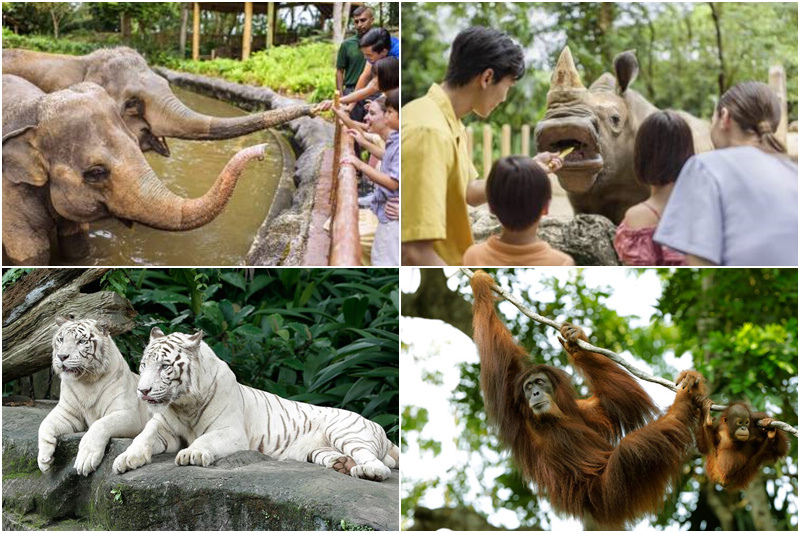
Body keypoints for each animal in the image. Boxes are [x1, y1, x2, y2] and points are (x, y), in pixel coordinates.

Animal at [1, 74, 268, 264]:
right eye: (96, 172)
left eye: (134, 140)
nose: (262, 151)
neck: (36, 110)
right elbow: (30, 254)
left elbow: (77, 244)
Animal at [37, 318, 151, 476]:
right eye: (61, 339)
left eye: (81, 341)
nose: (61, 356)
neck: (86, 382)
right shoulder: (67, 412)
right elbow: (44, 424)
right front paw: (44, 458)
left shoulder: (129, 414)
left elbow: (100, 424)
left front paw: (86, 459)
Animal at [112, 326, 400, 480]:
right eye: (143, 365)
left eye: (165, 366)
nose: (142, 390)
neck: (184, 404)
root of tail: (380, 429)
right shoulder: (164, 428)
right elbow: (143, 437)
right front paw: (126, 459)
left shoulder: (231, 431)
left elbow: (205, 439)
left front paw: (192, 453)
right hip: (319, 450)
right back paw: (344, 465)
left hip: (347, 432)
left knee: (381, 466)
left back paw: (366, 471)